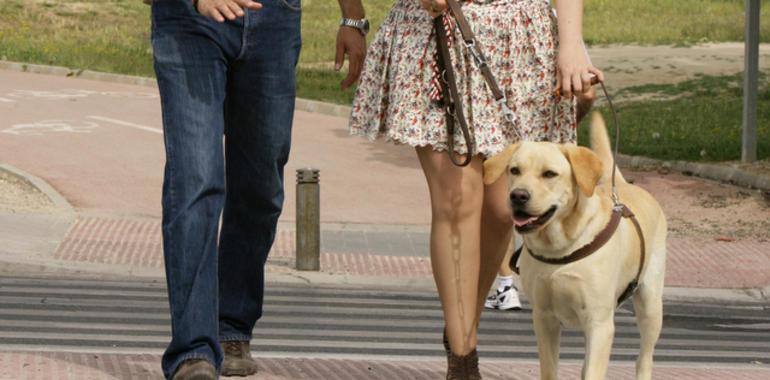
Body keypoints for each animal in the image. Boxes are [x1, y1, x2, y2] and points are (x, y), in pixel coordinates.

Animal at [484, 113, 664, 380]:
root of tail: (622, 185)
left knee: (644, 359)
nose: (518, 195)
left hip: (650, 305)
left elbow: (594, 371)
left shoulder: (599, 323)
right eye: (514, 170)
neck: (559, 247)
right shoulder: (544, 318)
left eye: (549, 174)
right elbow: (550, 370)